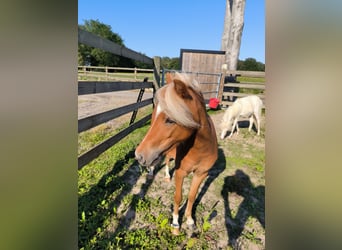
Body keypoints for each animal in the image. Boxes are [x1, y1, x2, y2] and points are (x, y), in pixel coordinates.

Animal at [135, 72, 218, 234]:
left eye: (170, 120)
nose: (139, 156)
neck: (201, 149)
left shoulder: (201, 174)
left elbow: (191, 196)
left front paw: (190, 221)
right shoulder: (180, 173)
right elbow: (178, 197)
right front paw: (175, 224)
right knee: (165, 159)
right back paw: (158, 173)